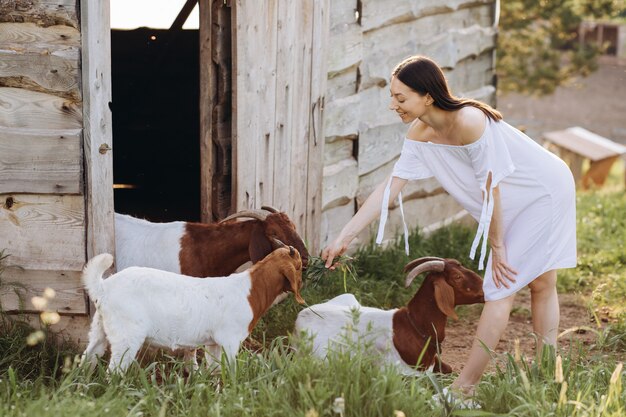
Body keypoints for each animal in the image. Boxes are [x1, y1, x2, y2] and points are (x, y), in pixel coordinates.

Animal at [79, 247, 304, 370]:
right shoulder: (230, 340)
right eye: (299, 266)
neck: (250, 290)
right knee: (115, 370)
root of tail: (103, 287)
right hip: (126, 335)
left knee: (87, 358)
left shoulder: (214, 343)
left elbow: (216, 370)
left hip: (99, 329)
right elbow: (231, 371)